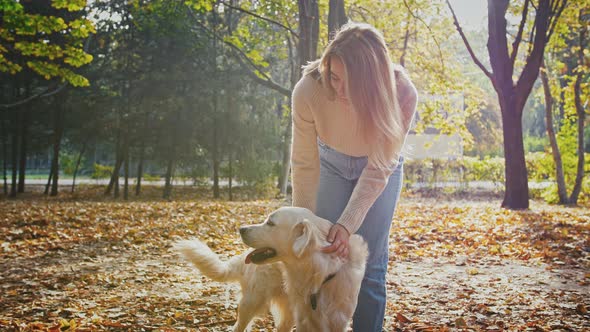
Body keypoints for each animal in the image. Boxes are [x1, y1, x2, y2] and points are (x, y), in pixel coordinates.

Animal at [176, 206, 370, 330]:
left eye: (270, 223)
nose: (241, 228)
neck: (320, 274)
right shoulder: (304, 320)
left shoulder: (337, 322)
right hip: (251, 302)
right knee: (238, 327)